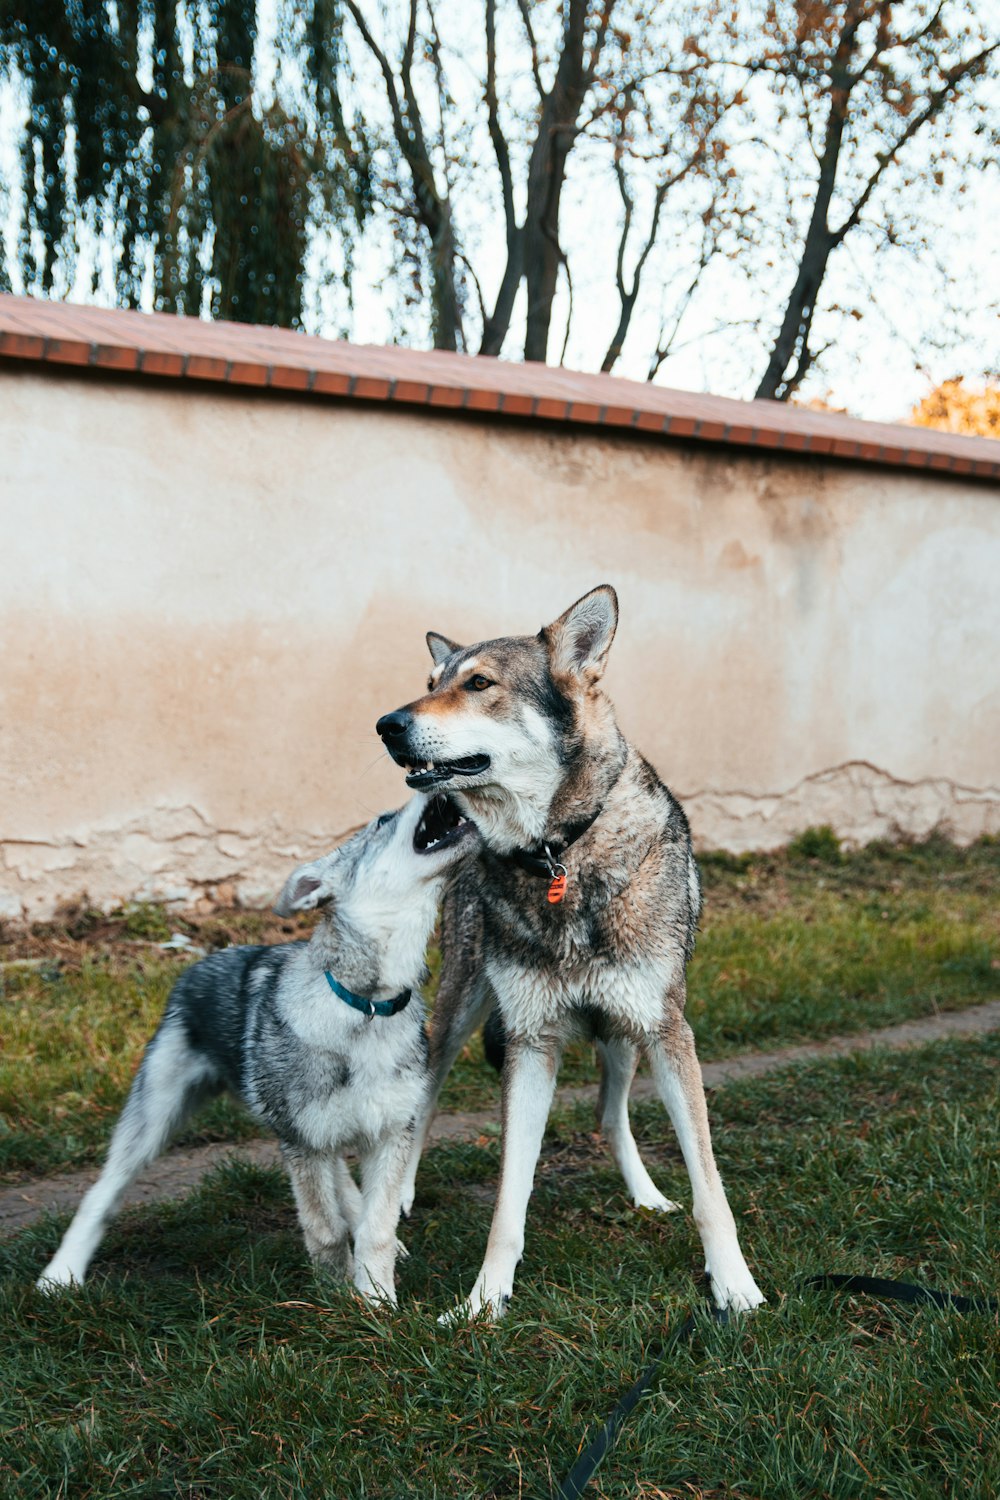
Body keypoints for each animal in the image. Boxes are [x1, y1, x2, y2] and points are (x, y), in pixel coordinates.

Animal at [37, 798, 476, 1302]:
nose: (431, 785)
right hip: (154, 1120)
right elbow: (324, 1231)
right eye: (383, 821)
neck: (366, 1006)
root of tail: (204, 960)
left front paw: (377, 1302)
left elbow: (376, 1229)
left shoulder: (388, 1132)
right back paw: (60, 1275)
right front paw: (334, 1299)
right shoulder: (303, 1142)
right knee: (101, 1193)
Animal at [377, 582, 767, 1314]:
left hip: (625, 1036)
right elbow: (508, 1201)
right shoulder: (531, 1042)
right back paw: (401, 1201)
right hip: (457, 1013)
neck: (559, 856)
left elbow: (709, 1188)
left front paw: (735, 1287)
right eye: (430, 684)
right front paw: (481, 1303)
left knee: (610, 1117)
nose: (387, 724)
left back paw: (646, 1197)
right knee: (421, 1107)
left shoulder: (667, 1030)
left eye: (479, 684)